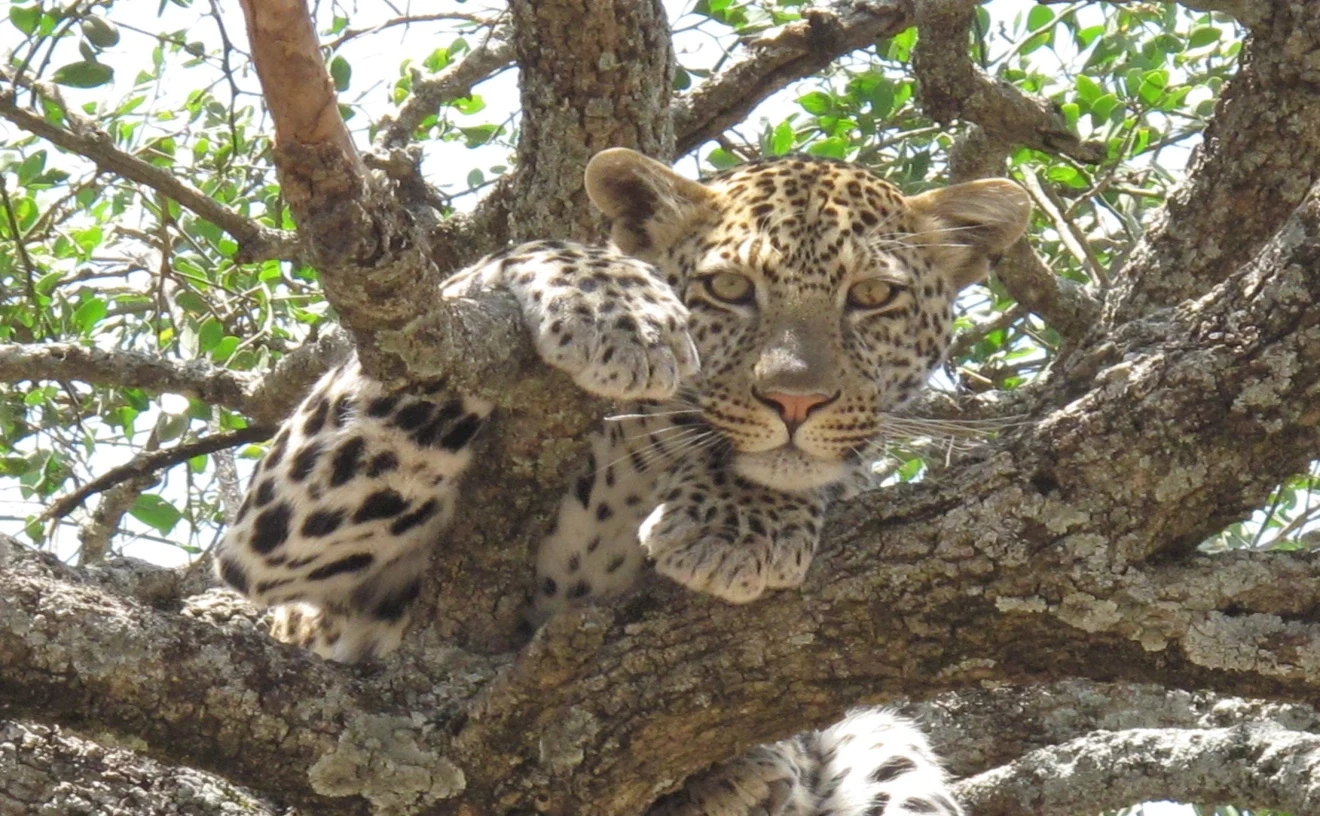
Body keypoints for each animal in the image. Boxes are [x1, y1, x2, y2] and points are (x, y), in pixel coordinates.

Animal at [214, 147, 1030, 816]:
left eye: (871, 298)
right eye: (728, 287)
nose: (795, 401)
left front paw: (736, 526)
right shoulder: (283, 531)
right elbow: (507, 263)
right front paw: (614, 308)